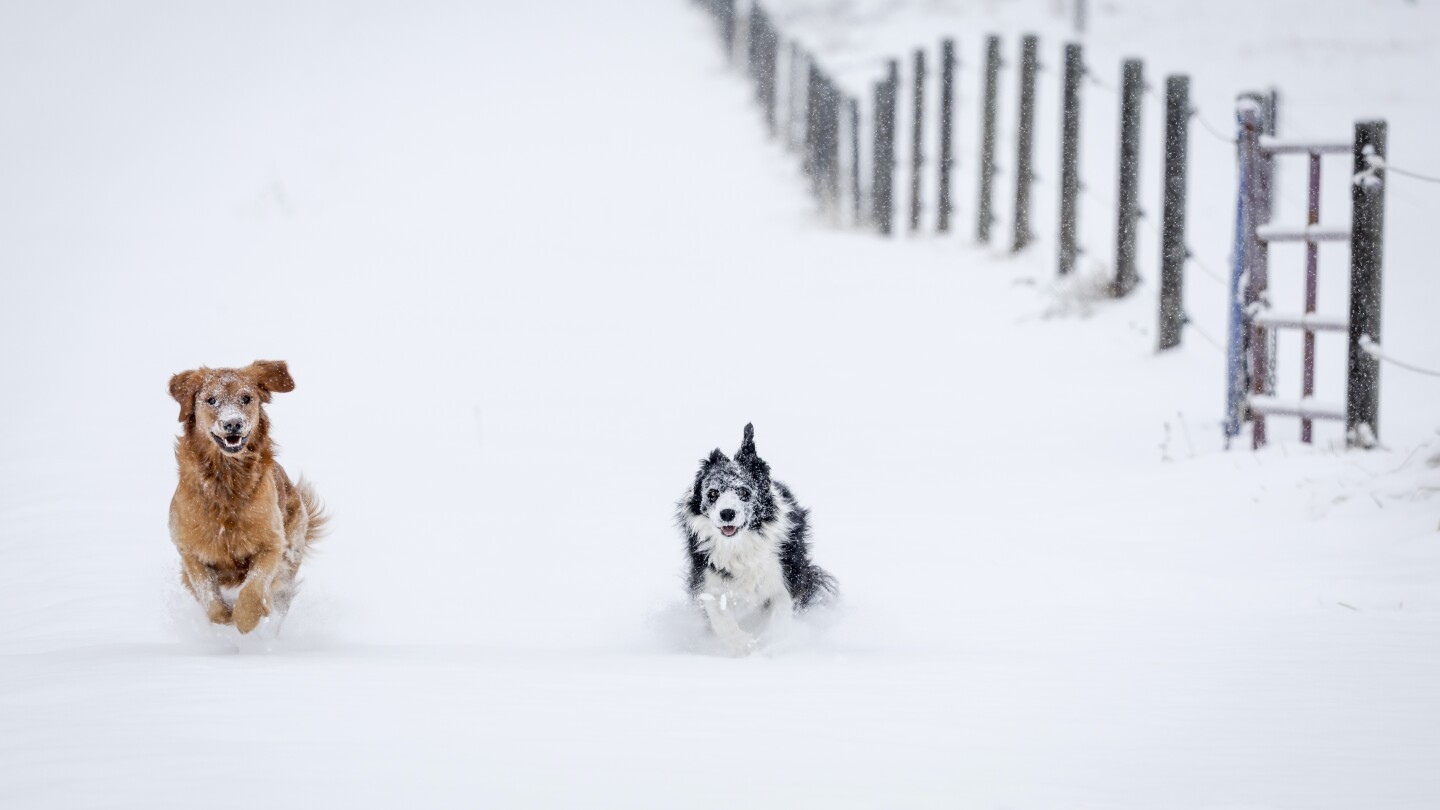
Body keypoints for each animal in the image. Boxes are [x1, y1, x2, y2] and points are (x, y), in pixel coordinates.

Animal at [679, 417, 840, 651]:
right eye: (713, 493)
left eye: (744, 492)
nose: (727, 513)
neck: (741, 545)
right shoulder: (707, 575)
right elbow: (719, 615)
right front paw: (743, 644)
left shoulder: (786, 573)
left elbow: (782, 610)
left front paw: (771, 642)